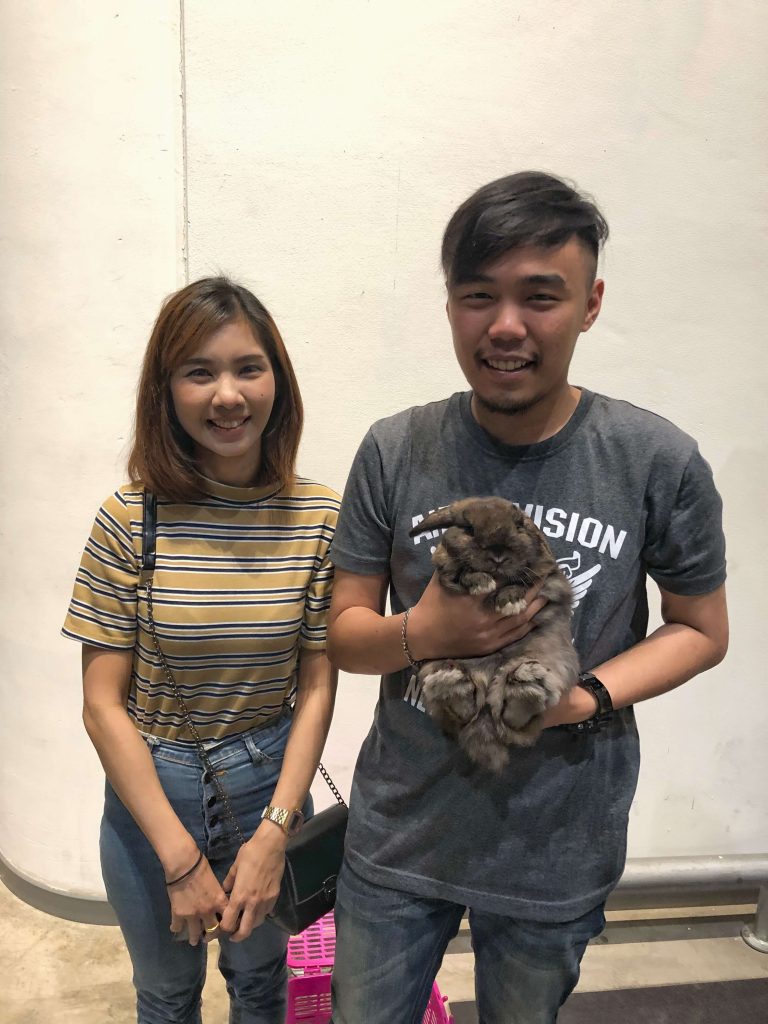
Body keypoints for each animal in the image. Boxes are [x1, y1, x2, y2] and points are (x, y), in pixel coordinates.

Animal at [408, 497, 579, 772]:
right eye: (468, 529)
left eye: (519, 525)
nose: (498, 555)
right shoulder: (447, 569)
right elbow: (463, 573)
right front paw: (482, 583)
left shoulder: (547, 576)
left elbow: (523, 582)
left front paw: (510, 602)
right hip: (430, 666)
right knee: (463, 710)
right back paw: (451, 681)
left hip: (556, 662)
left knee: (517, 716)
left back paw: (525, 686)